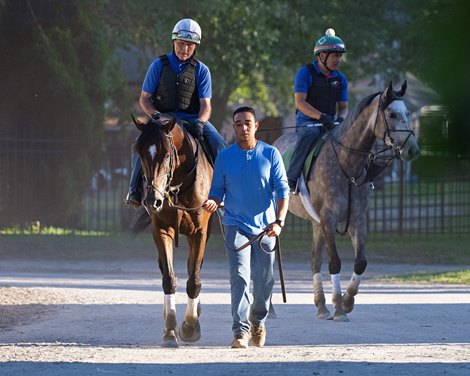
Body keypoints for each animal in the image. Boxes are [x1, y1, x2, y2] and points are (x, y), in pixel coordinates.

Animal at [132, 115, 213, 346]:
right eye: (140, 153)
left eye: (166, 154)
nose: (153, 200)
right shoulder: (161, 229)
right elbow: (169, 277)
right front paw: (170, 330)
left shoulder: (200, 232)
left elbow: (194, 279)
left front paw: (189, 327)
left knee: (194, 268)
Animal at [274, 81, 420, 320]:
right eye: (391, 114)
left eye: (408, 113)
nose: (412, 150)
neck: (346, 162)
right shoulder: (329, 219)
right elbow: (335, 262)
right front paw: (340, 308)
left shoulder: (357, 220)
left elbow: (360, 262)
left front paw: (346, 300)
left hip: (316, 224)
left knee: (314, 260)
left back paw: (321, 306)